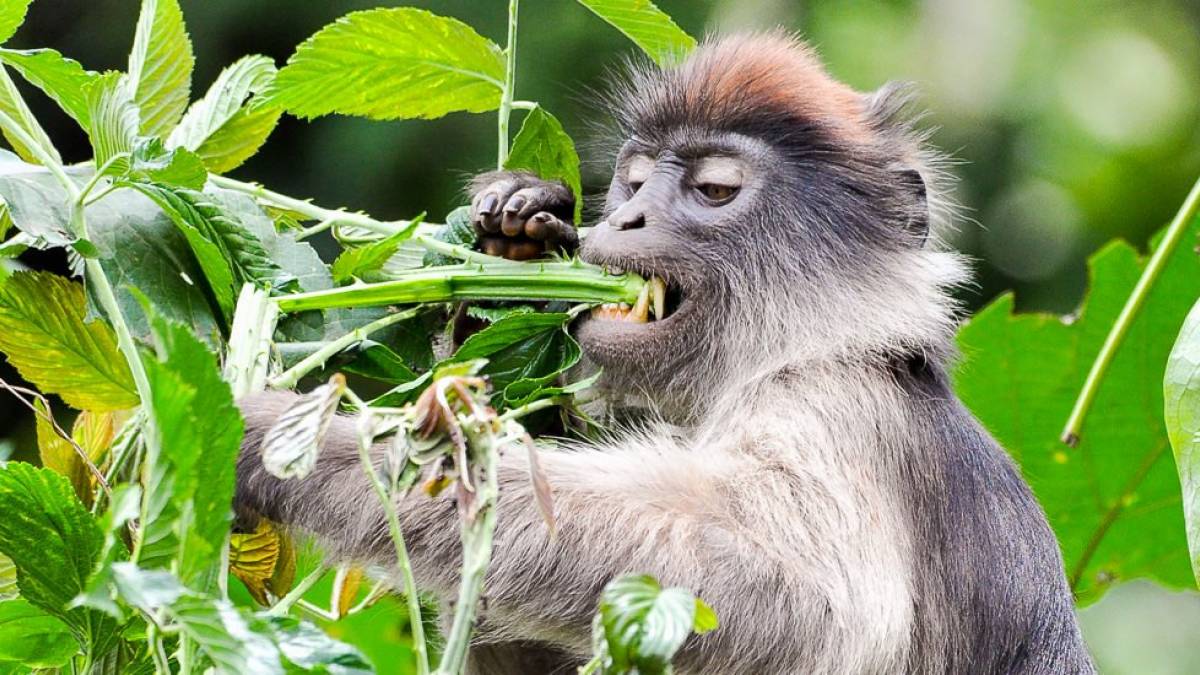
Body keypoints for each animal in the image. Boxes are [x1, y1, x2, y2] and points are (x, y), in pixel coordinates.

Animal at [235, 33, 1096, 674]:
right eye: (637, 179)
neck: (816, 344)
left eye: (713, 189)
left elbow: (805, 600)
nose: (629, 217)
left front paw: (268, 431)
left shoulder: (837, 407)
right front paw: (511, 241)